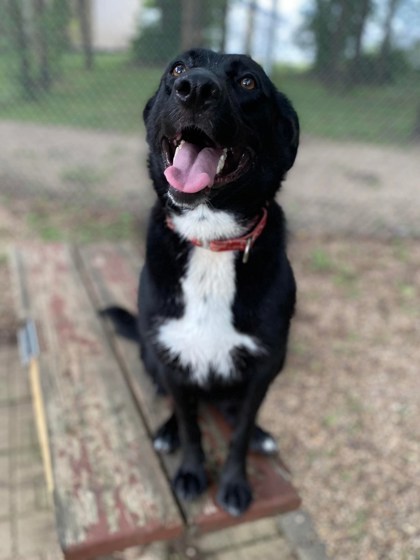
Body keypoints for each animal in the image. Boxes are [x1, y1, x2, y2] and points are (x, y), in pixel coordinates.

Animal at [135, 48, 298, 516]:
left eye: (248, 82)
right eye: (177, 68)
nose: (194, 88)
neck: (211, 241)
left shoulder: (264, 366)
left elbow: (240, 431)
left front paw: (235, 484)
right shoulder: (172, 359)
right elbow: (191, 427)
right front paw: (191, 472)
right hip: (152, 355)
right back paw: (166, 431)